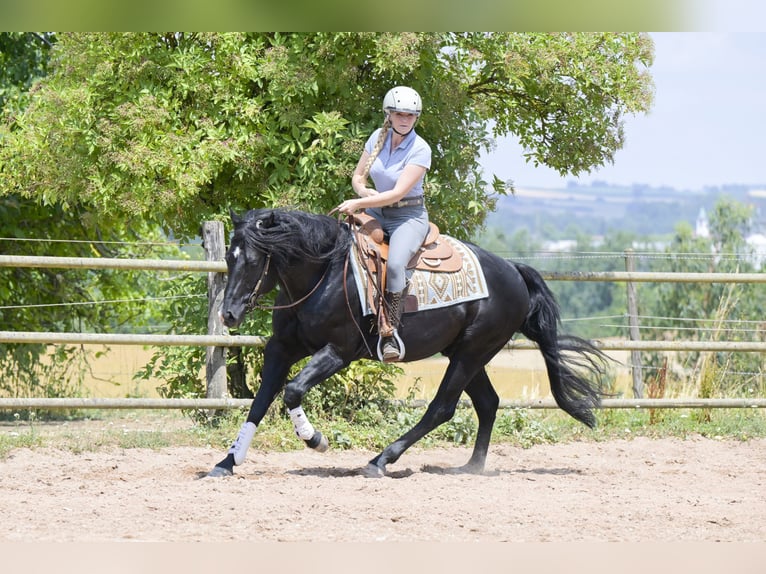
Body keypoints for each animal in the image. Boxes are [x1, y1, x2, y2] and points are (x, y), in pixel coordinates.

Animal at [206, 208, 608, 478]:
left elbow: (291, 391)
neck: (324, 274)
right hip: (467, 354)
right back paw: (471, 466)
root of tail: (513, 270)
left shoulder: (338, 352)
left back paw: (381, 460)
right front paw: (227, 462)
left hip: (471, 352)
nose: (229, 314)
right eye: (229, 256)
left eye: (254, 260)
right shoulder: (282, 348)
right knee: (487, 403)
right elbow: (260, 402)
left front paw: (314, 439)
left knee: (442, 408)